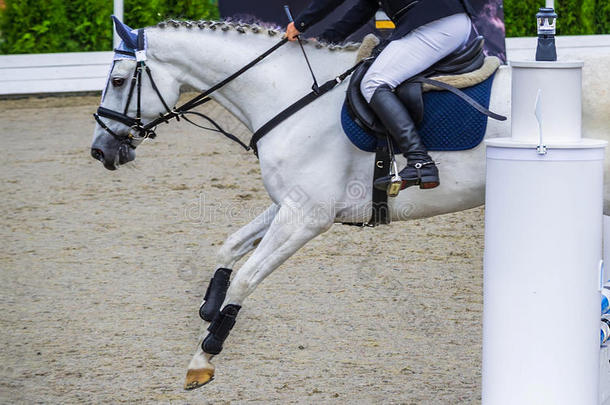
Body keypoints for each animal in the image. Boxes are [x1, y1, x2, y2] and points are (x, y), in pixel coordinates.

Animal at [90, 19, 608, 388]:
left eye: (118, 80)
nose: (100, 151)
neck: (289, 97)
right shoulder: (290, 205)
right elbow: (228, 250)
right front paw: (207, 309)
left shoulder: (306, 218)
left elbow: (246, 279)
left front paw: (204, 356)